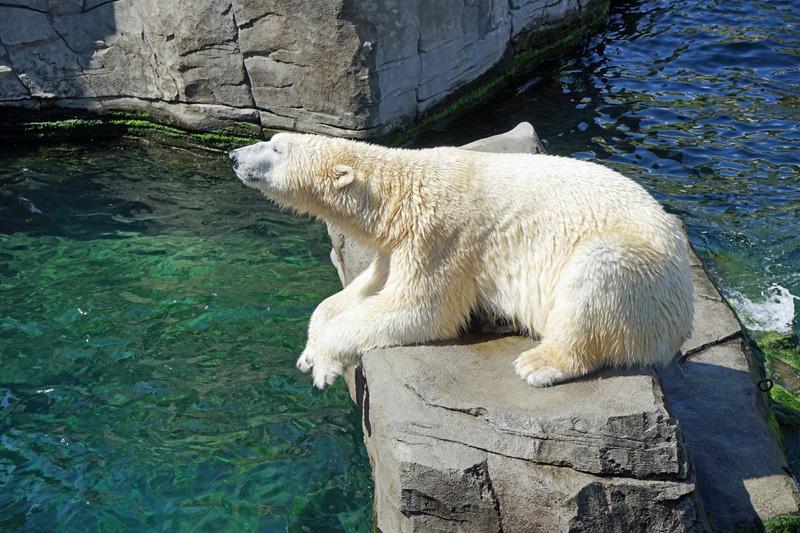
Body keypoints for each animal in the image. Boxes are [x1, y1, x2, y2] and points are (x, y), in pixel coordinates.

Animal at [229, 132, 694, 389]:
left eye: (276, 147)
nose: (233, 156)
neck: (400, 192)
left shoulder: (441, 236)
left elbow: (421, 309)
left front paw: (324, 365)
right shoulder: (399, 244)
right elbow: (361, 291)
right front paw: (309, 351)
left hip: (642, 274)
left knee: (596, 274)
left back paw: (538, 363)